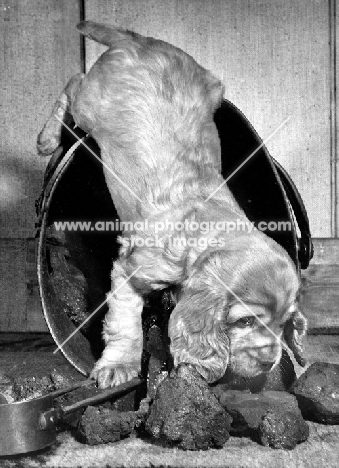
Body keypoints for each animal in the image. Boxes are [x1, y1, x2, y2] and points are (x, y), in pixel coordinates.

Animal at [37, 21, 308, 388]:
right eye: (245, 321)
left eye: (283, 323)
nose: (269, 363)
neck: (209, 231)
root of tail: (142, 41)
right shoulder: (131, 269)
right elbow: (125, 323)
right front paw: (119, 366)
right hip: (90, 105)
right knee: (73, 81)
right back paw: (48, 137)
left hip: (212, 87)